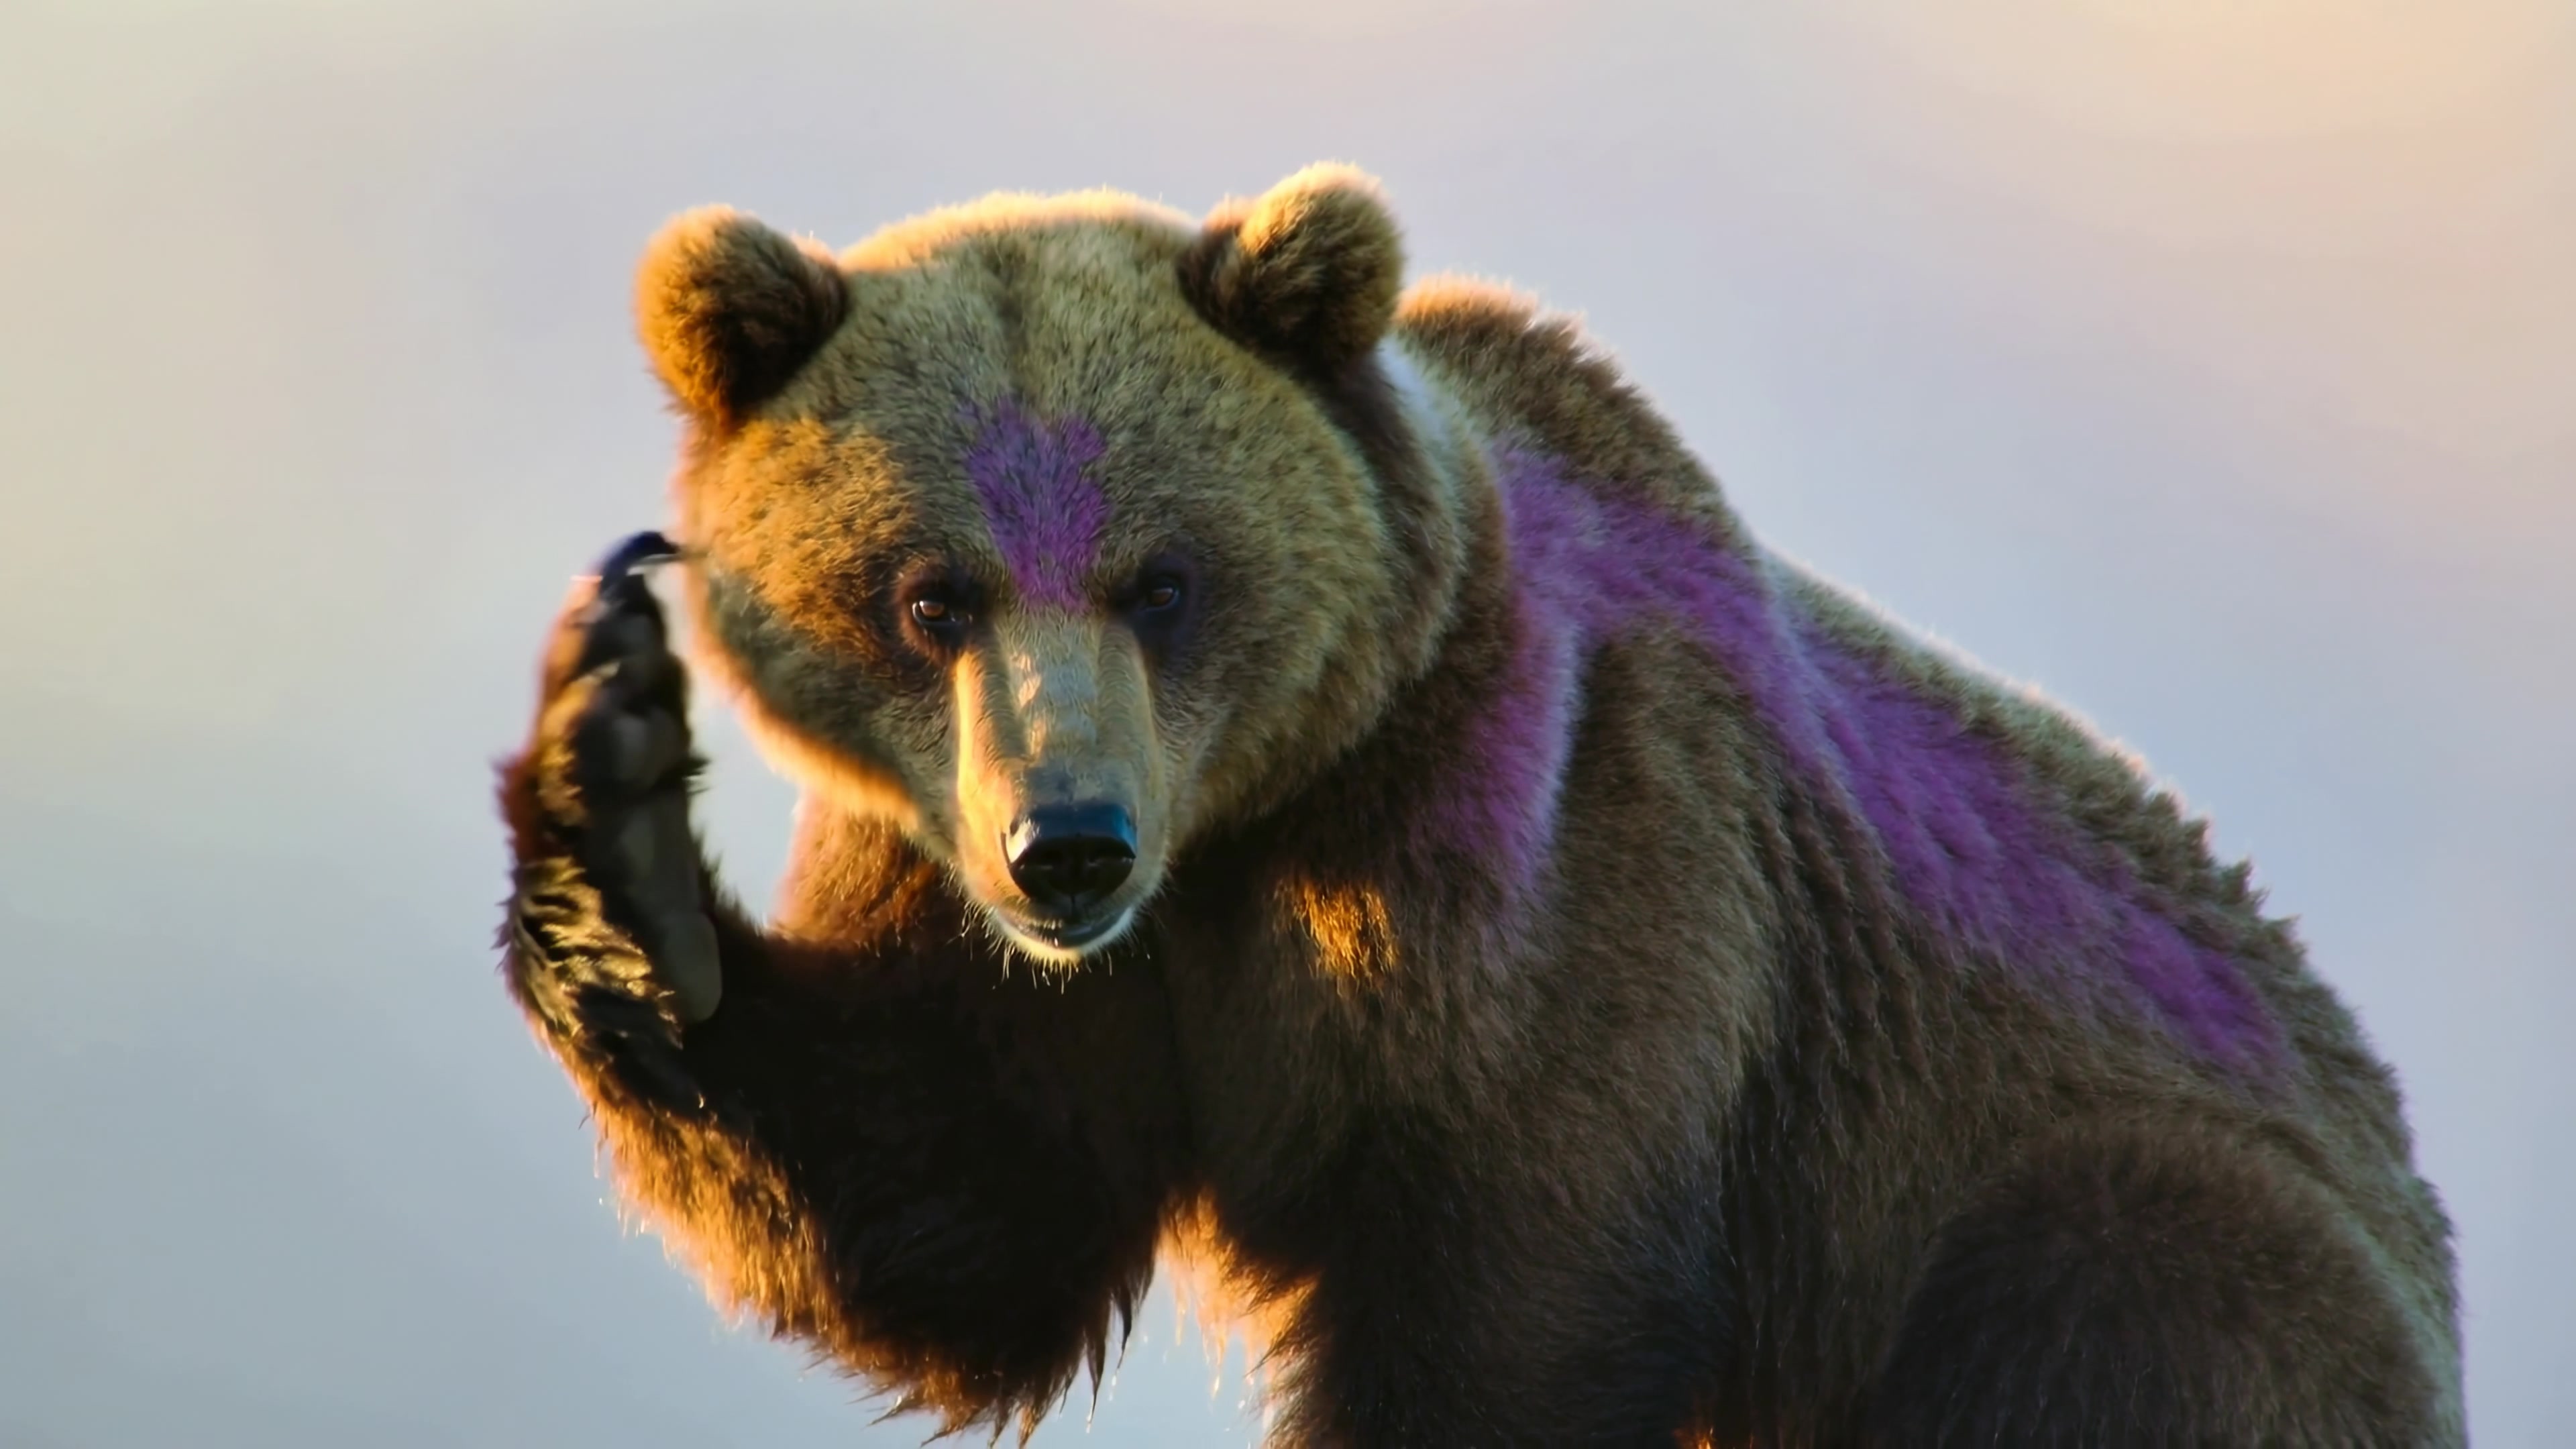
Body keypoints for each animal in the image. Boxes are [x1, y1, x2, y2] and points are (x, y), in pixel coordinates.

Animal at [495, 163, 2464, 1446]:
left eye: (1163, 581)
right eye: (929, 595)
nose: (1069, 844)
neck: (1260, 817)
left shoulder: (1574, 849)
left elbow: (1516, 1275)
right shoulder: (1009, 911)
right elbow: (966, 1204)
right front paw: (625, 809)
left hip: (2117, 1226)